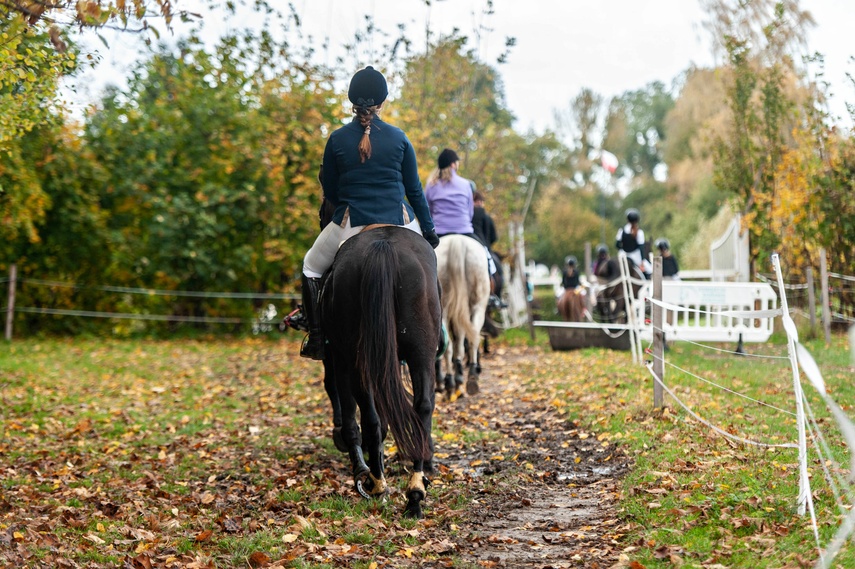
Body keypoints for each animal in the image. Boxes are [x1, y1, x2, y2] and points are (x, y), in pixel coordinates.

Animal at [320, 224, 442, 516]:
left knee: (369, 417)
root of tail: (383, 245)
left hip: (355, 357)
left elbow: (349, 414)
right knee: (422, 407)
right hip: (421, 353)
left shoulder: (338, 357)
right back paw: (415, 491)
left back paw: (375, 482)